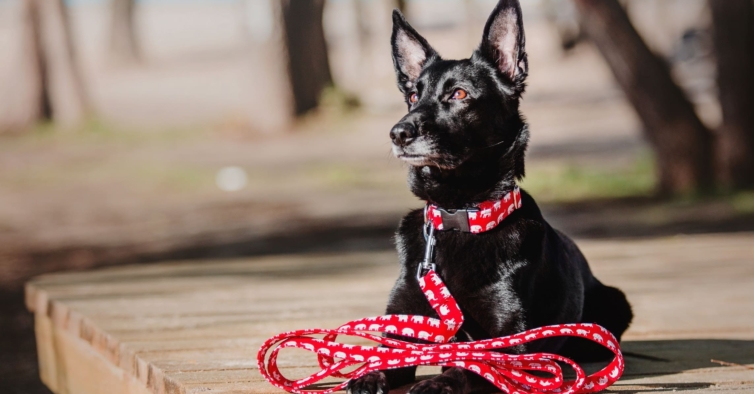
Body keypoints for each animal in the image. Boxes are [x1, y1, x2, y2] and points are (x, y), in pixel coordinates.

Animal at [346, 0, 628, 394]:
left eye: (459, 94)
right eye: (414, 96)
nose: (398, 132)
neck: (458, 215)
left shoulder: (509, 346)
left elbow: (471, 365)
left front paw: (438, 383)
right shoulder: (404, 327)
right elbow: (386, 358)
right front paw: (369, 374)